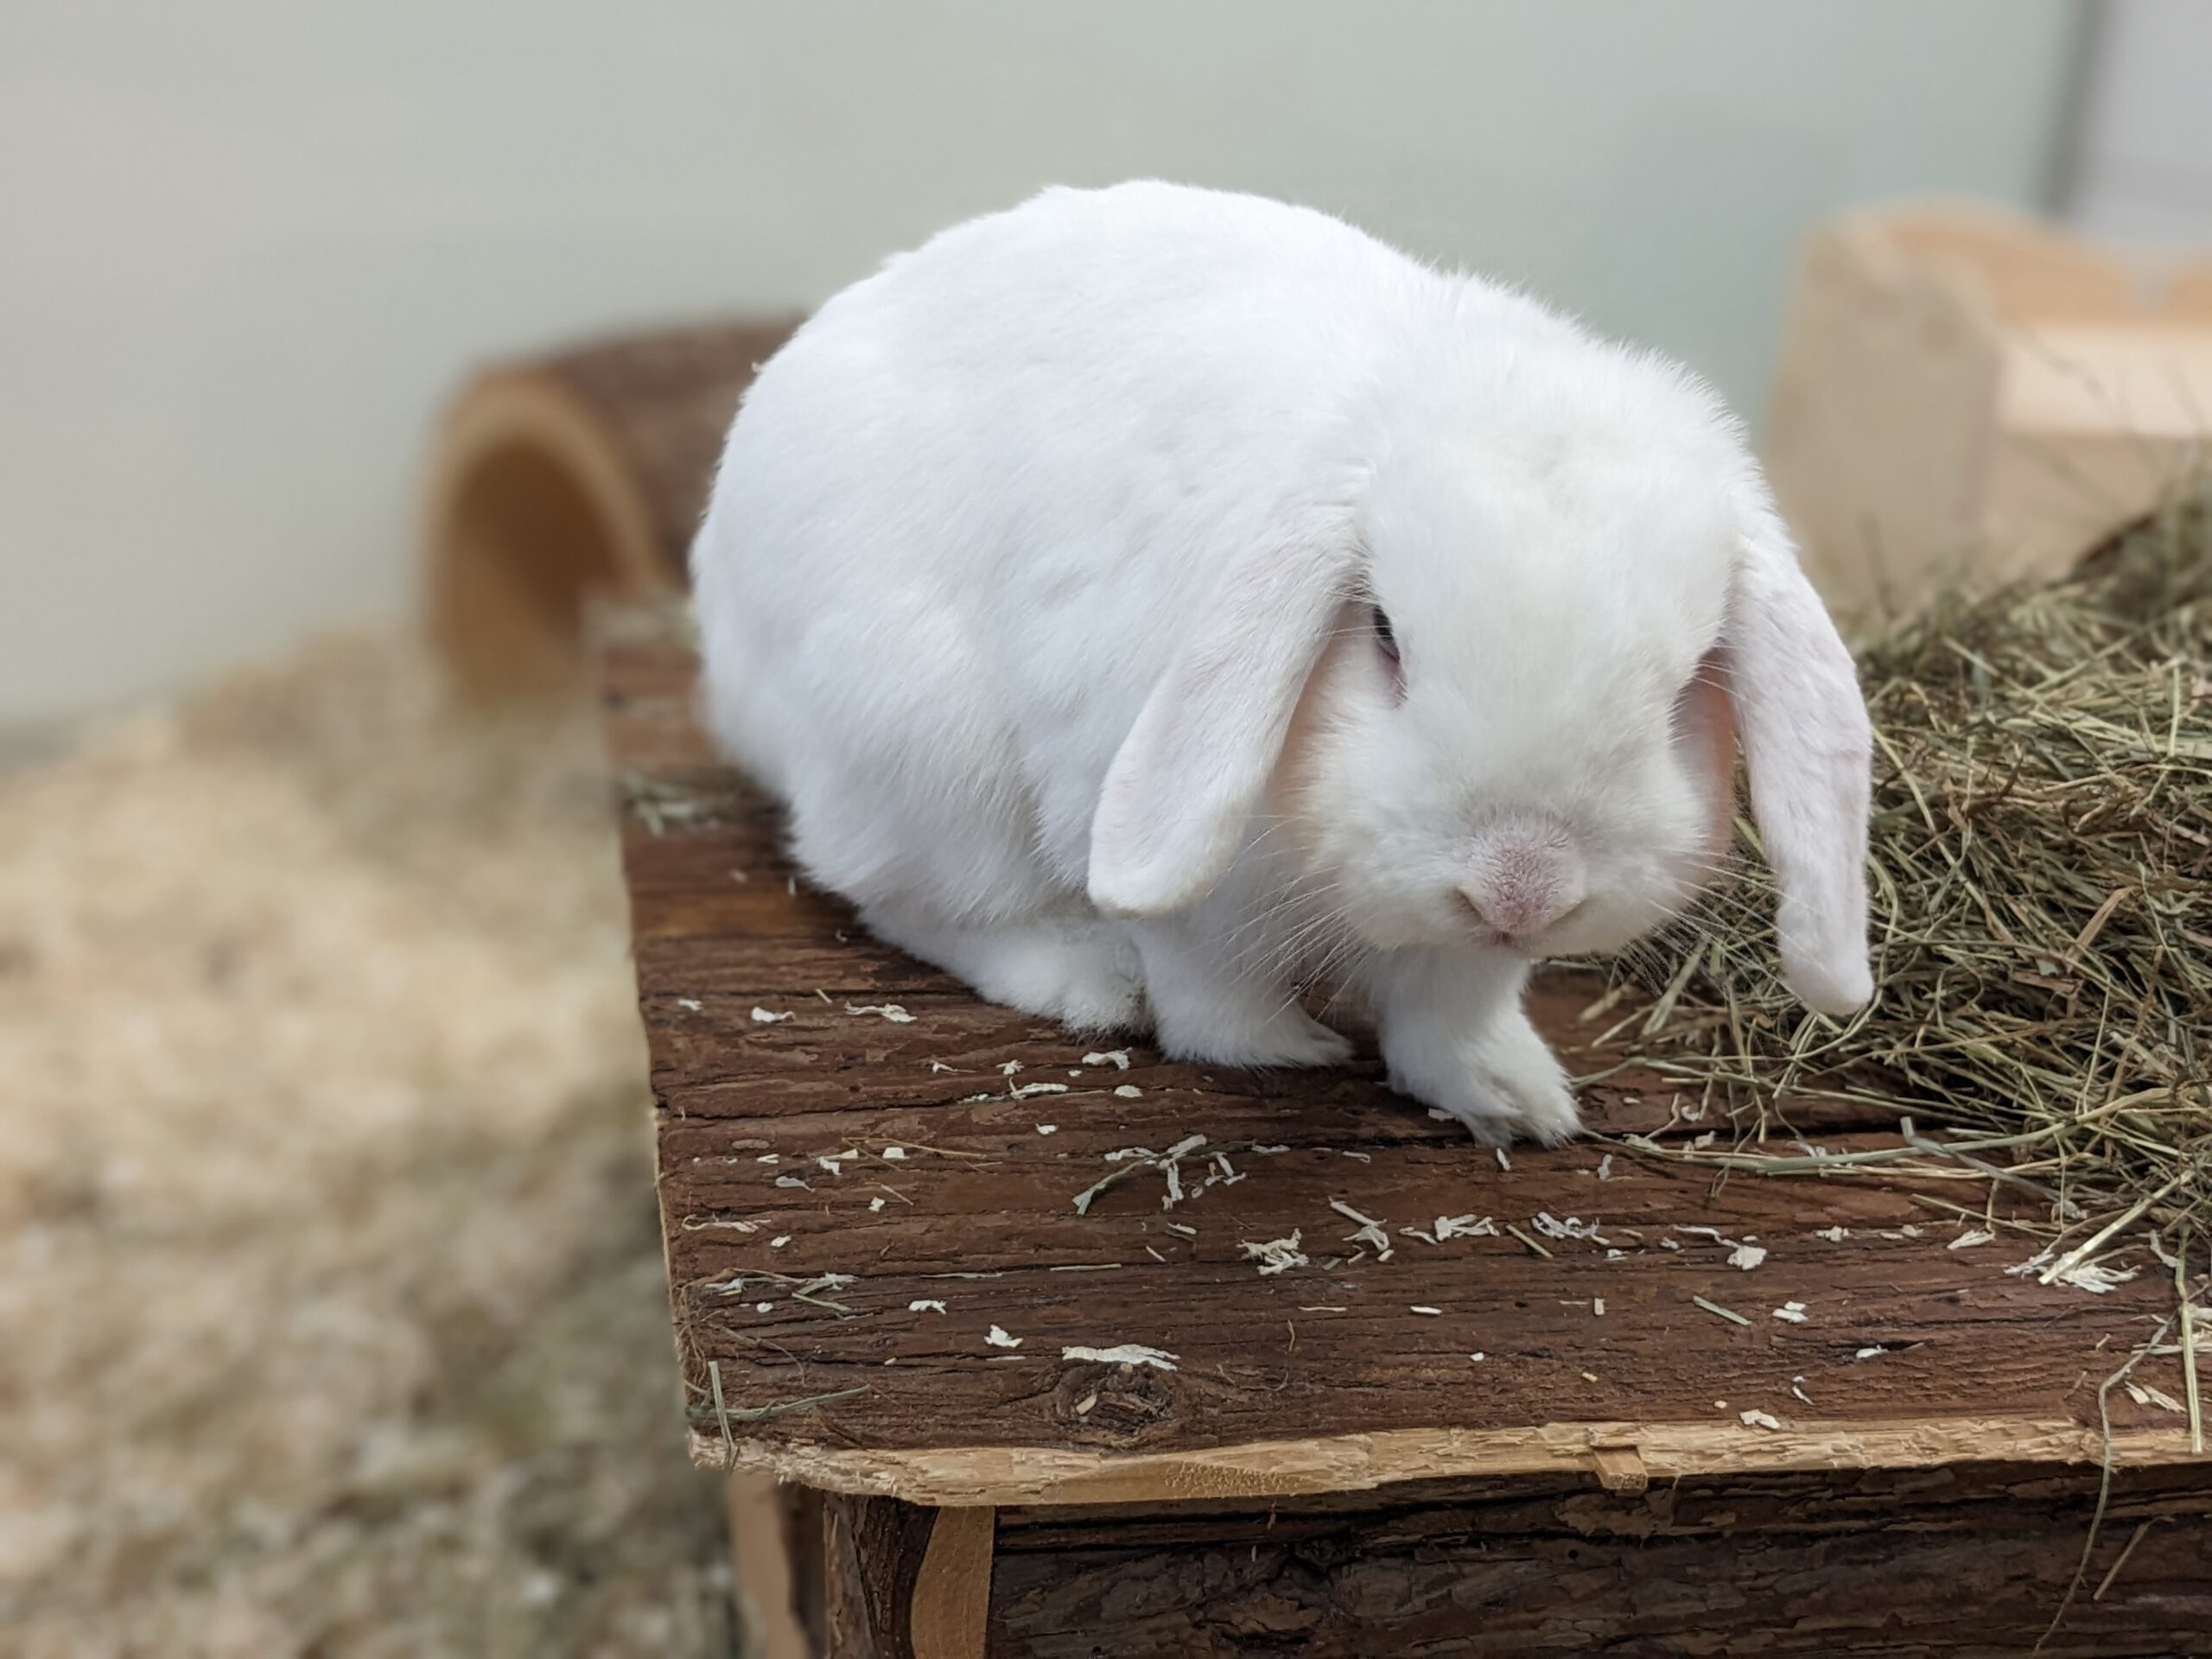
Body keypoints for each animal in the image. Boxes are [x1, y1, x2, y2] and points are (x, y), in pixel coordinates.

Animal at [692, 181, 1872, 1144]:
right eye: (1384, 636)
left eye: (1685, 682)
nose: (1520, 883)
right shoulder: (1172, 864)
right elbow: (1209, 989)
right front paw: (1278, 1050)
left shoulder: (1465, 958)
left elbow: (1449, 1017)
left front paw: (1516, 1102)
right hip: (926, 754)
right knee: (912, 903)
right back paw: (1086, 979)